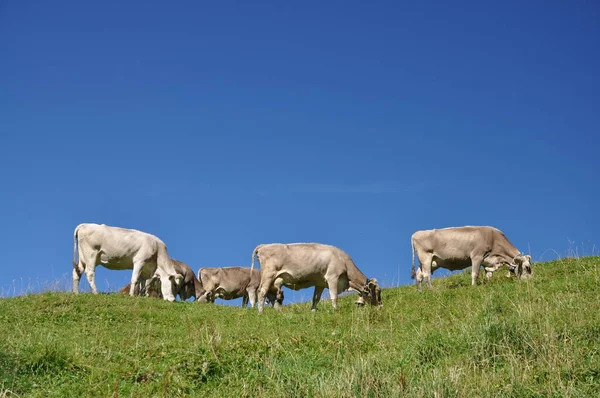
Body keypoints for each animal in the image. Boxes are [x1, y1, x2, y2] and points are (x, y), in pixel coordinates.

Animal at [251, 243, 382, 314]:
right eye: (378, 291)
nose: (381, 306)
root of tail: (264, 246)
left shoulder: (320, 283)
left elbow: (316, 299)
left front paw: (313, 311)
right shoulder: (333, 277)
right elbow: (334, 297)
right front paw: (335, 310)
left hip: (275, 280)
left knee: (271, 295)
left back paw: (279, 312)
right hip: (269, 274)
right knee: (262, 292)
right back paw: (261, 312)